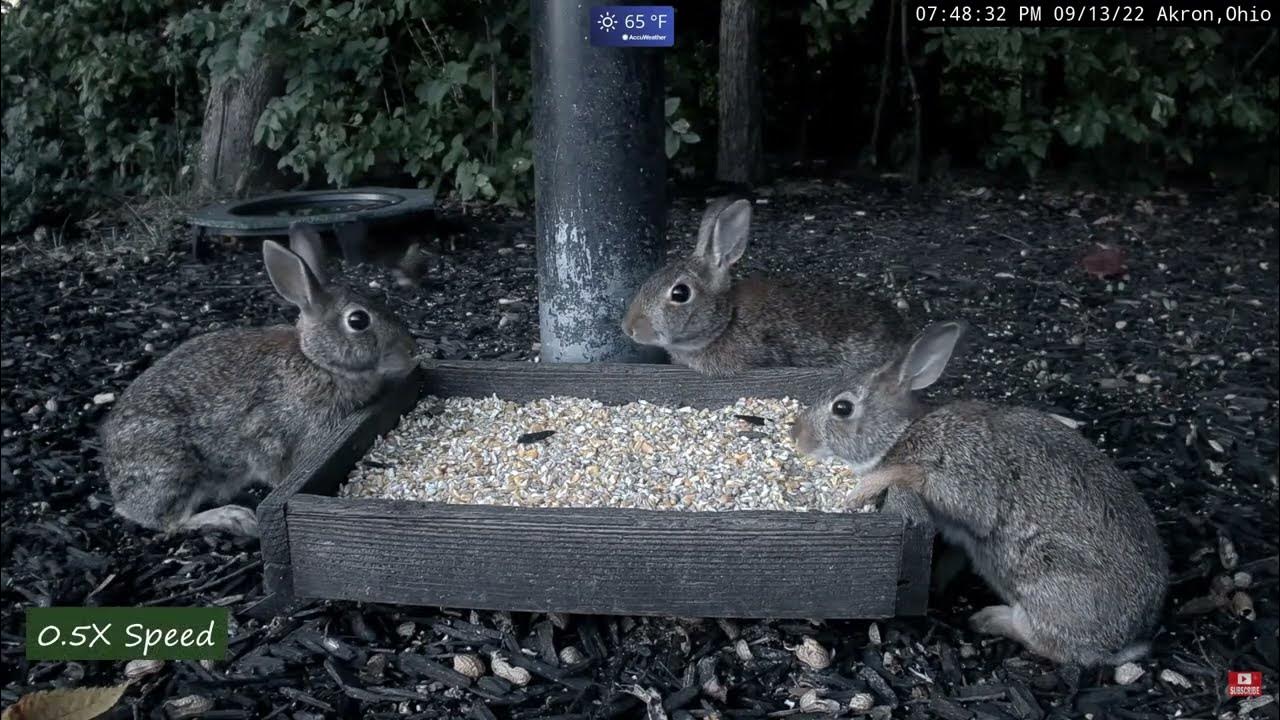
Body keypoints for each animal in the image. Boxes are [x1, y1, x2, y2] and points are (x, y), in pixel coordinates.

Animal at [99, 224, 418, 537]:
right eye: (358, 321)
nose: (410, 350)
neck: (317, 361)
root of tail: (117, 489)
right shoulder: (275, 435)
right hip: (173, 466)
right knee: (171, 520)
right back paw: (233, 518)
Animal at [790, 321, 1168, 667]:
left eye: (842, 408)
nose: (797, 435)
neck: (902, 432)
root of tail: (1129, 639)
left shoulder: (956, 472)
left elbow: (911, 475)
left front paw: (859, 491)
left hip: (1048, 575)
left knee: (1051, 643)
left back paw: (988, 619)